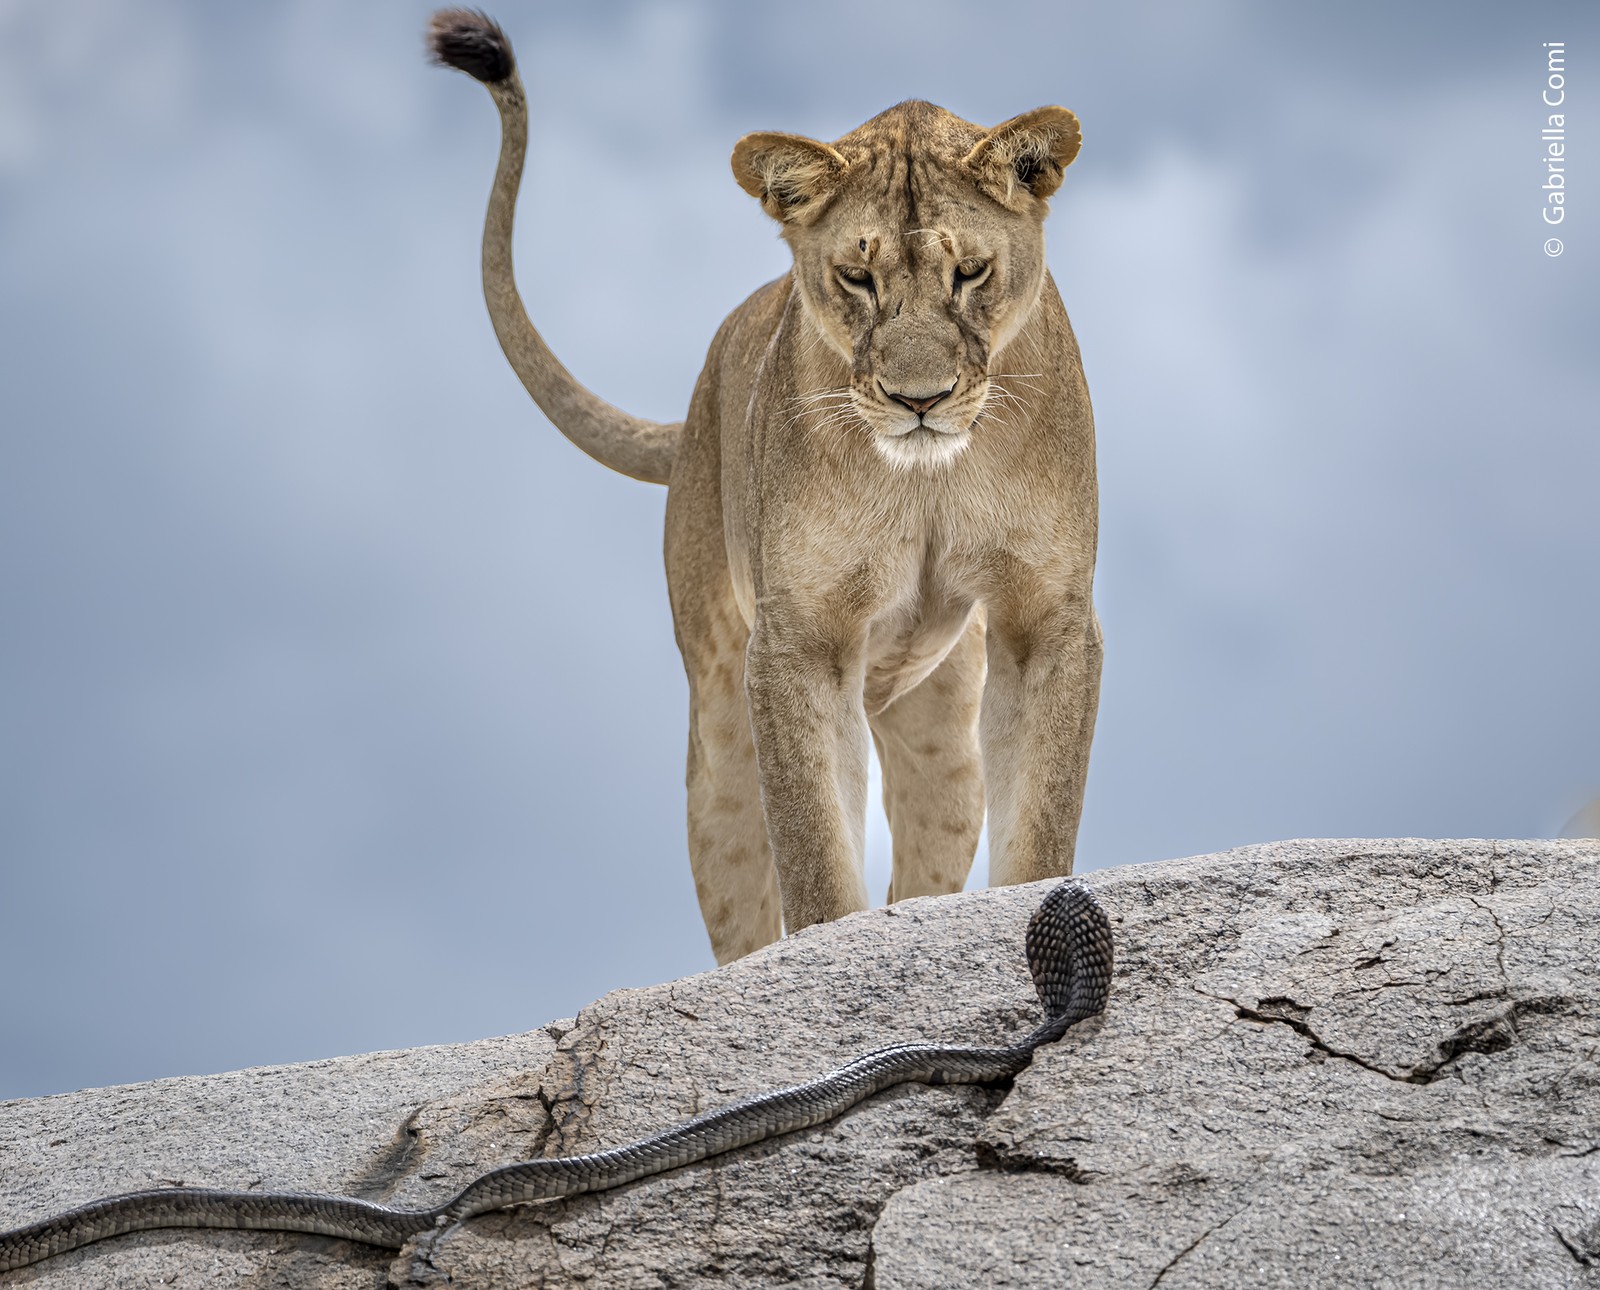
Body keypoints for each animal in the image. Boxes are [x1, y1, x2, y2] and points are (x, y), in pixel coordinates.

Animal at [429, 11, 1102, 963]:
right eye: (857, 277)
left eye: (970, 272)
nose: (920, 400)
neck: (927, 480)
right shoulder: (800, 639)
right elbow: (814, 851)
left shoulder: (1047, 616)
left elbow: (1041, 820)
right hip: (717, 733)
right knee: (738, 879)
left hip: (944, 742)